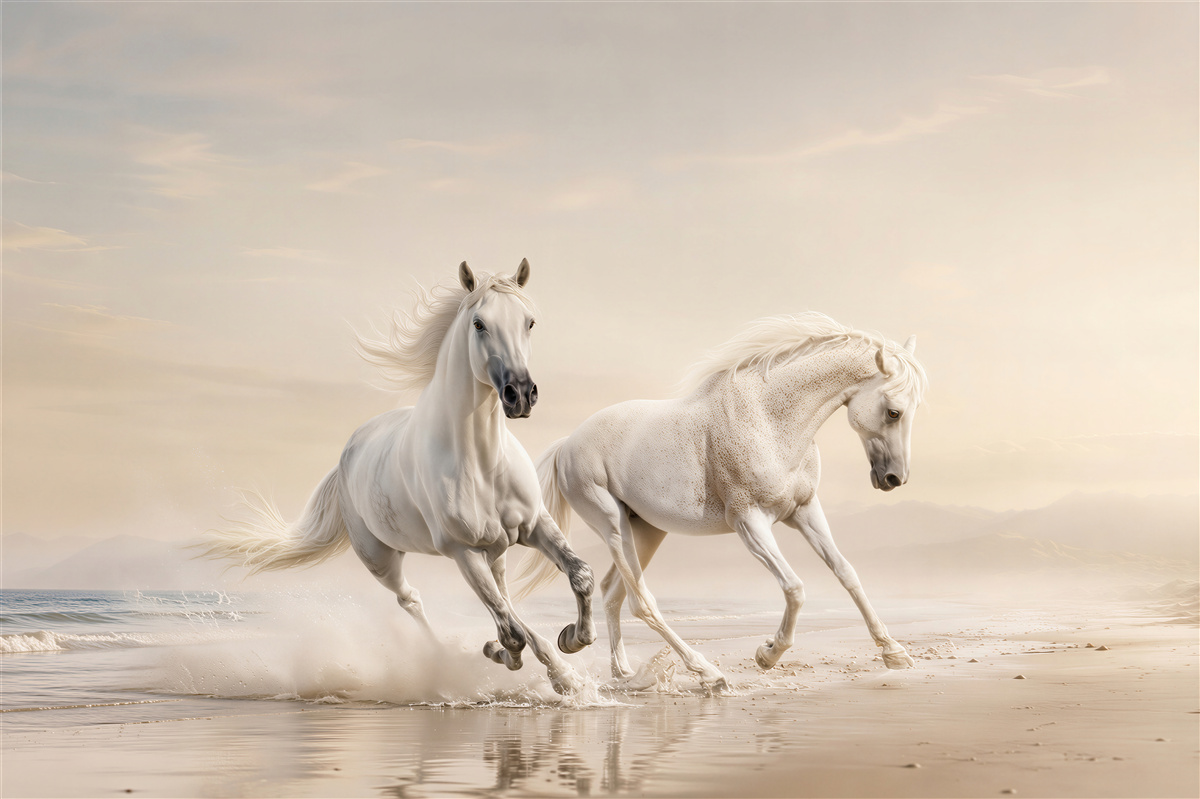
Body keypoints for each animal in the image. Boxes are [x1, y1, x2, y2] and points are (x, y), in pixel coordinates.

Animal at [199, 260, 595, 694]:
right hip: (382, 559)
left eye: (529, 322)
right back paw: (448, 659)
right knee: (413, 600)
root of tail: (347, 455)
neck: (482, 462)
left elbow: (579, 576)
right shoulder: (462, 550)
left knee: (503, 594)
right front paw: (503, 653)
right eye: (479, 324)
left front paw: (573, 643)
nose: (520, 394)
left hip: (496, 549)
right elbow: (511, 631)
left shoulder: (535, 524)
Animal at [514, 312, 927, 691]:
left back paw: (624, 673)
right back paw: (706, 673)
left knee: (613, 593)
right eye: (894, 411)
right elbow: (795, 588)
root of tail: (567, 443)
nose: (894, 478)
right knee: (640, 602)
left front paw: (894, 653)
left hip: (645, 531)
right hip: (612, 525)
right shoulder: (749, 523)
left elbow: (846, 572)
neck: (770, 419)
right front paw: (767, 654)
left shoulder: (804, 510)